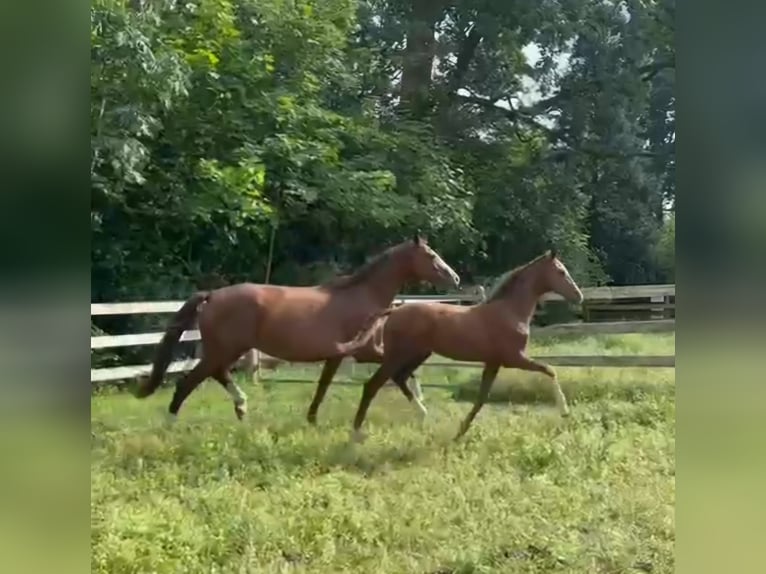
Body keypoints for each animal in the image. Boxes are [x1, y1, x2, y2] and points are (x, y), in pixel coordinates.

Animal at [133, 235, 460, 424]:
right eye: (431, 256)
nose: (454, 278)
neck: (361, 295)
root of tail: (211, 296)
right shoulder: (359, 351)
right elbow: (395, 373)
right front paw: (422, 409)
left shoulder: (347, 355)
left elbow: (328, 385)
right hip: (224, 349)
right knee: (187, 383)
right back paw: (172, 426)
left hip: (226, 350)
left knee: (216, 374)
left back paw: (242, 407)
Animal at [352, 250, 584, 444]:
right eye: (561, 271)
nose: (578, 296)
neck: (509, 312)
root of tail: (393, 311)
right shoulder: (514, 358)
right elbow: (550, 370)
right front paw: (564, 411)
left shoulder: (493, 362)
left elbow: (481, 399)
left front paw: (459, 433)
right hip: (398, 355)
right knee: (372, 385)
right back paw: (356, 433)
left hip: (417, 354)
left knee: (400, 378)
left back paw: (422, 414)